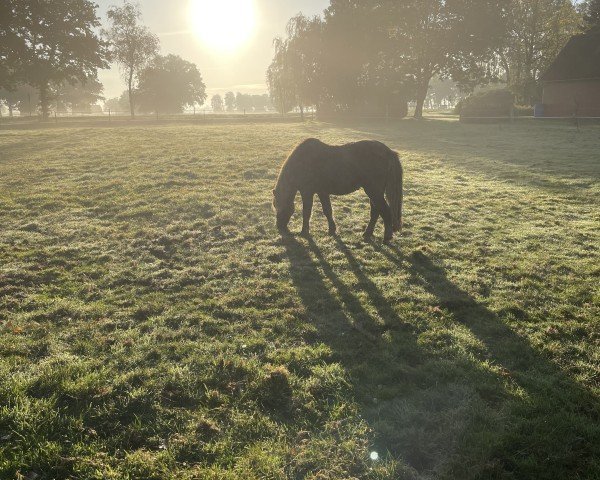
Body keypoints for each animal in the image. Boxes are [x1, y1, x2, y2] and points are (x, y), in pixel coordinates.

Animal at [272, 139, 404, 244]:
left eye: (280, 206)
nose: (279, 226)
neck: (301, 163)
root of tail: (389, 152)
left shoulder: (307, 192)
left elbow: (307, 212)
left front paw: (304, 232)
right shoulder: (322, 192)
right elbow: (327, 210)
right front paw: (332, 229)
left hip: (374, 191)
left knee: (385, 211)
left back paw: (386, 237)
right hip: (374, 192)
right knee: (376, 211)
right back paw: (368, 233)